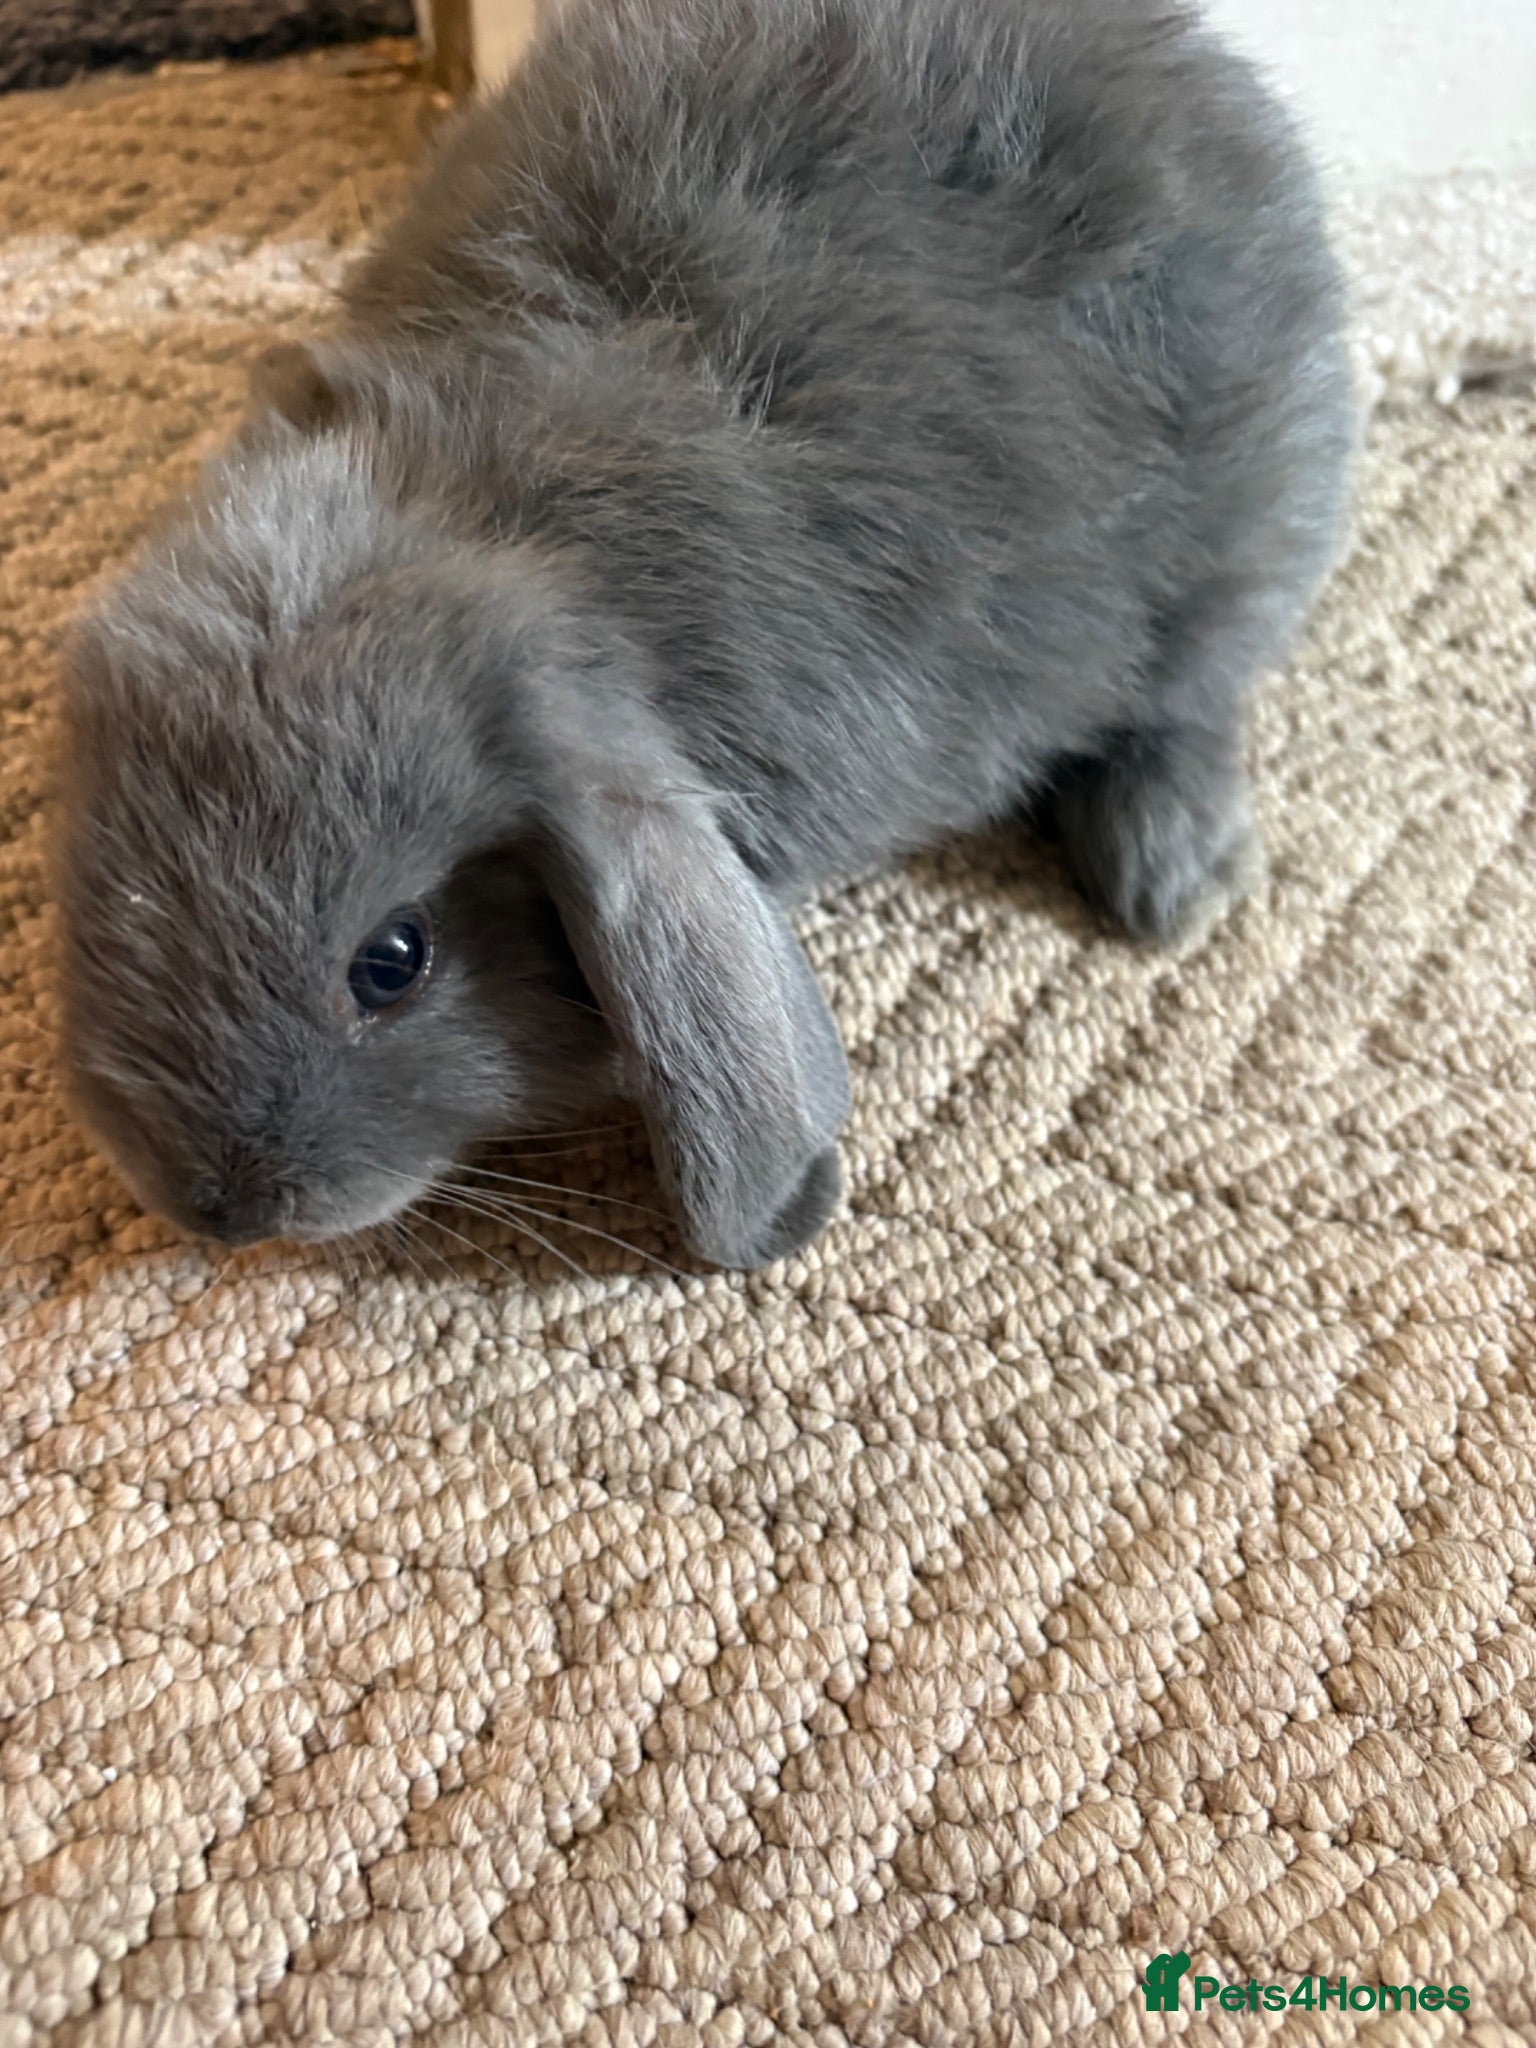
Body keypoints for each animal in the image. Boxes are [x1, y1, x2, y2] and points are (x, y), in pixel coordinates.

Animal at [55, 0, 1354, 1272]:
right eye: (102, 888)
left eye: (393, 961)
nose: (215, 1206)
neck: (502, 528)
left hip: (1249, 537)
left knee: (1196, 696)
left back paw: (1169, 874)